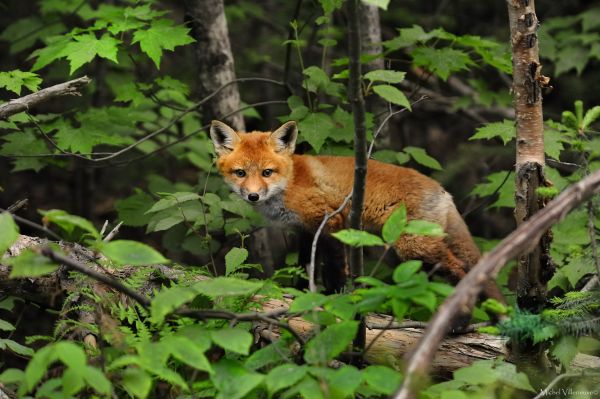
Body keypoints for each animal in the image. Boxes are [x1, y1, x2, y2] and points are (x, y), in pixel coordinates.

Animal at [211, 120, 506, 302]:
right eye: (240, 173)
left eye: (266, 172)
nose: (253, 195)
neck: (290, 182)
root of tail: (443, 190)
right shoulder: (306, 231)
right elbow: (306, 267)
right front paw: (302, 296)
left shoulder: (330, 220)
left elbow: (333, 269)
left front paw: (335, 298)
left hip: (413, 245)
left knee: (459, 267)